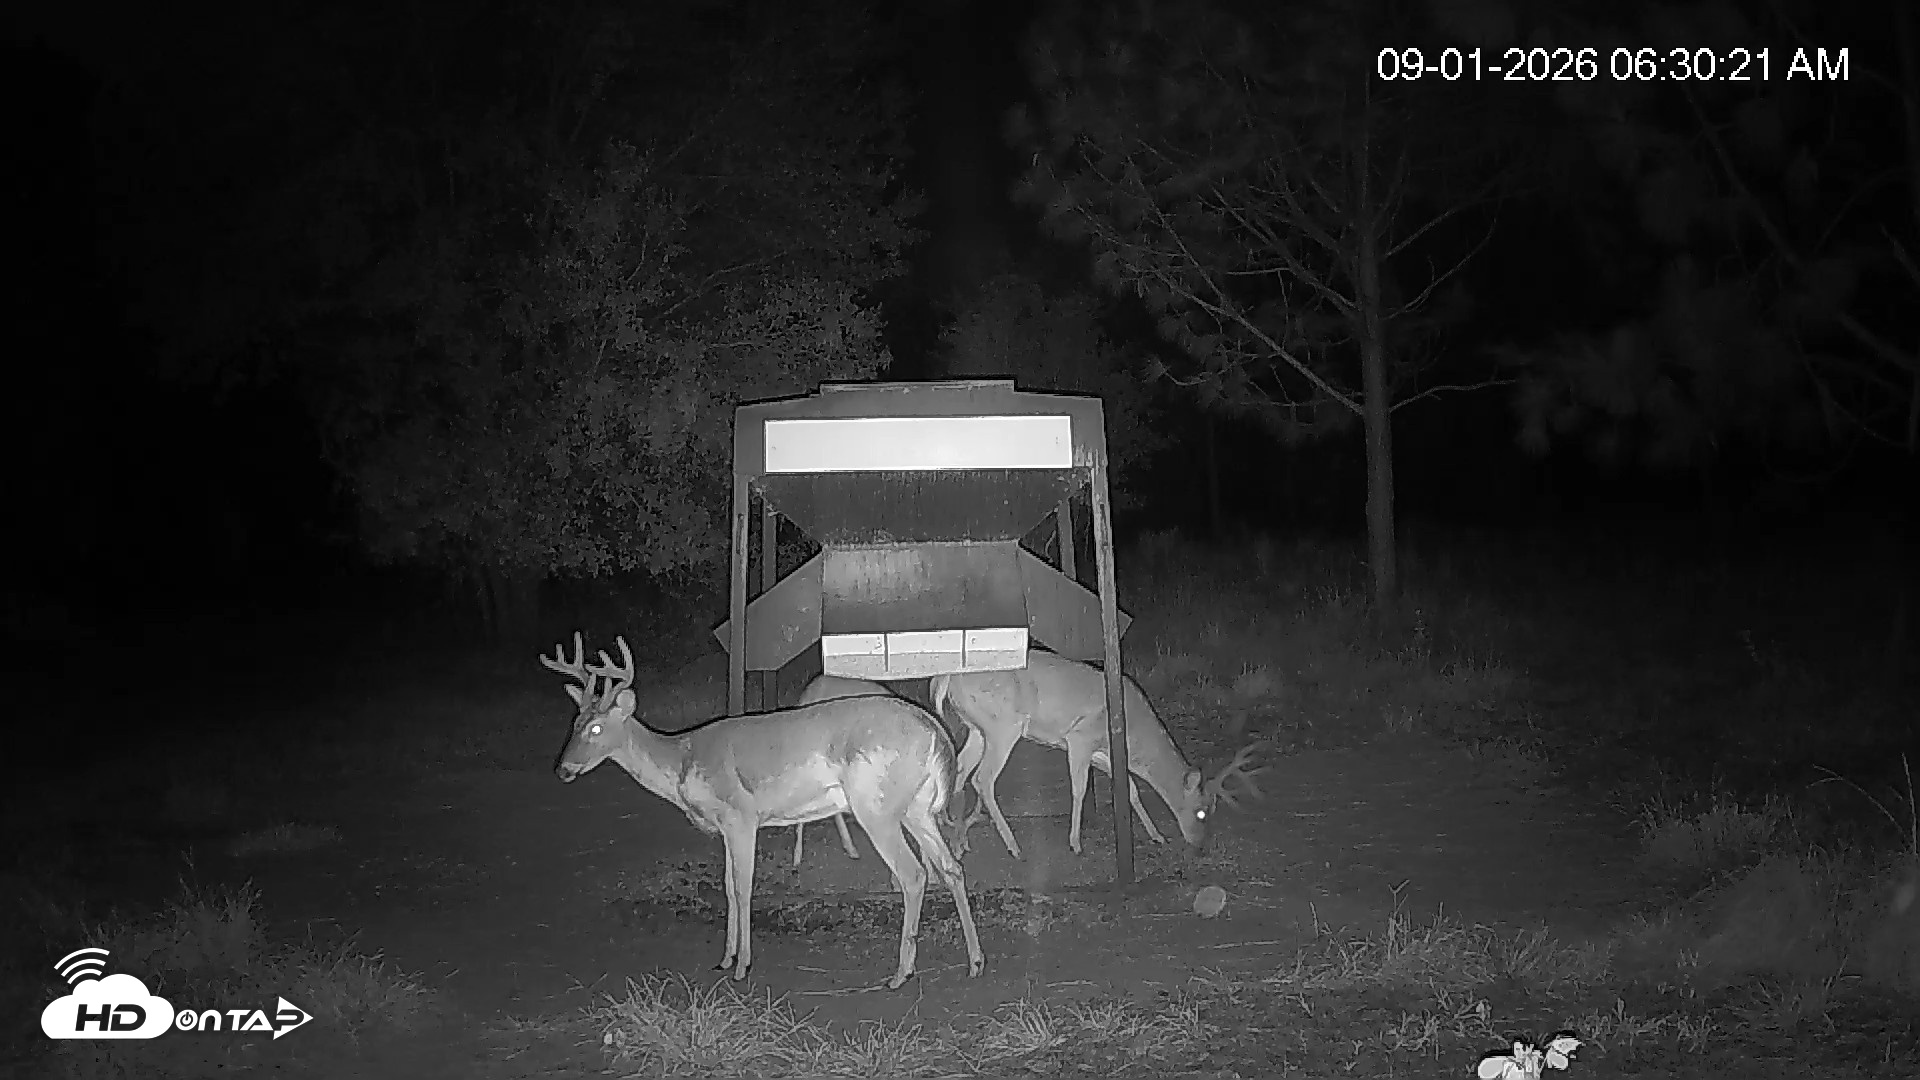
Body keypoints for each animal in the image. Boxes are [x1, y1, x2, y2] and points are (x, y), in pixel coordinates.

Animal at [930, 648, 1269, 860]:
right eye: (1202, 811)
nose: (1201, 845)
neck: (1133, 731)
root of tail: (947, 678)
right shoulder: (1079, 737)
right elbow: (1079, 789)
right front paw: (1075, 843)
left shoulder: (1101, 752)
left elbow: (1131, 789)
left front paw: (1157, 835)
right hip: (1003, 726)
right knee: (983, 779)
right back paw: (1013, 847)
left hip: (977, 729)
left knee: (959, 770)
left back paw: (957, 839)